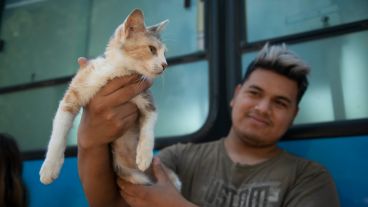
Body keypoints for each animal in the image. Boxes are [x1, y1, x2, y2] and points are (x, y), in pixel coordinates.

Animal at [39, 8, 181, 189]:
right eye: (152, 49)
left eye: (165, 53)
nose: (165, 65)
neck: (117, 72)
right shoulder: (74, 93)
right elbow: (58, 132)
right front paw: (49, 167)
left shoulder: (146, 98)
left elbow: (149, 126)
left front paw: (144, 155)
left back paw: (172, 179)